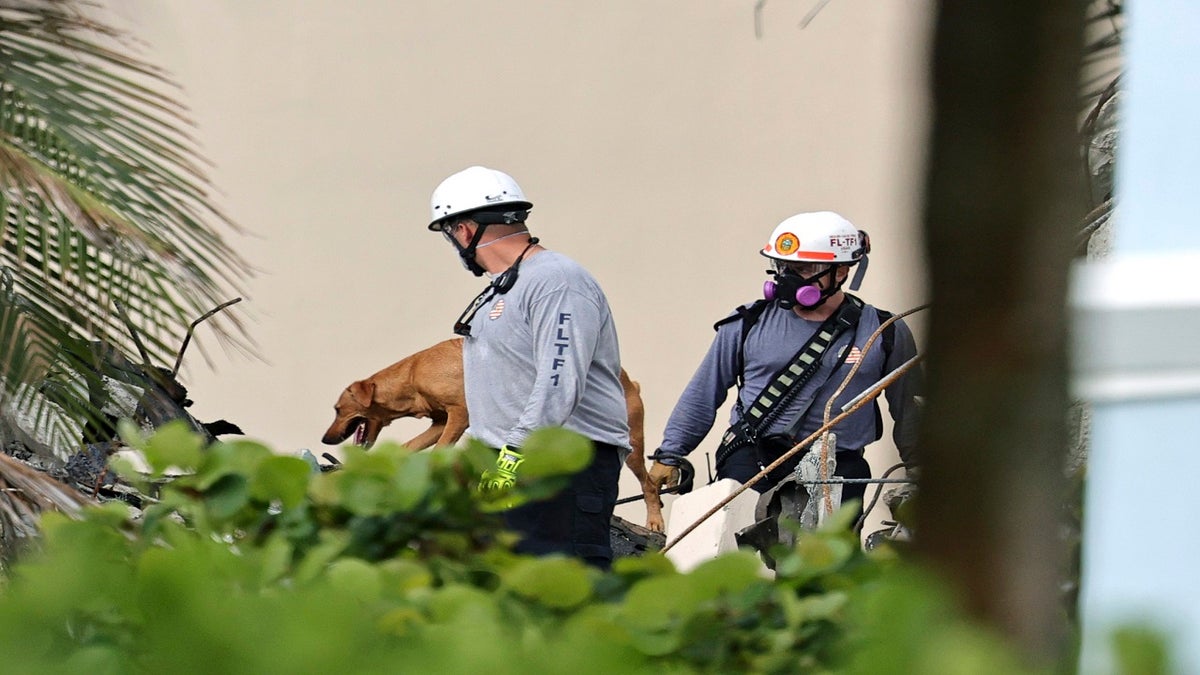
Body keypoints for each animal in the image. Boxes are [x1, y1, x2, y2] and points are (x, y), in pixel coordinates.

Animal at [321, 336, 667, 530]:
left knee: (649, 484)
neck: (413, 373)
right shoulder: (439, 422)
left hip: (632, 447)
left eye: (337, 410)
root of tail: (629, 381)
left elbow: (438, 453)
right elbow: (411, 446)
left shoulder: (459, 415)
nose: (326, 439)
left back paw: (655, 520)